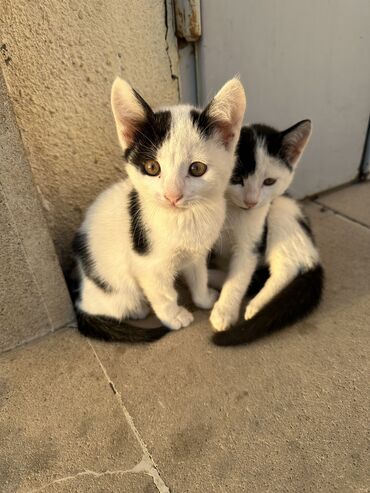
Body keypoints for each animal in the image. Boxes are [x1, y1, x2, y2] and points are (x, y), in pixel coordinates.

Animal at [72, 76, 246, 342]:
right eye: (152, 167)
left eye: (197, 169)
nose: (172, 196)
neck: (184, 218)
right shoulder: (147, 266)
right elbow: (163, 294)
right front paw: (174, 317)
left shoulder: (196, 253)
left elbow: (199, 275)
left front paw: (204, 298)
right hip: (115, 286)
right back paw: (138, 309)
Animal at [211, 119, 324, 344]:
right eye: (235, 177)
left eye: (269, 181)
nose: (251, 201)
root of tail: (313, 253)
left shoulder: (251, 243)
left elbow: (240, 275)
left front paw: (224, 311)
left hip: (280, 208)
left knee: (287, 267)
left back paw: (256, 305)